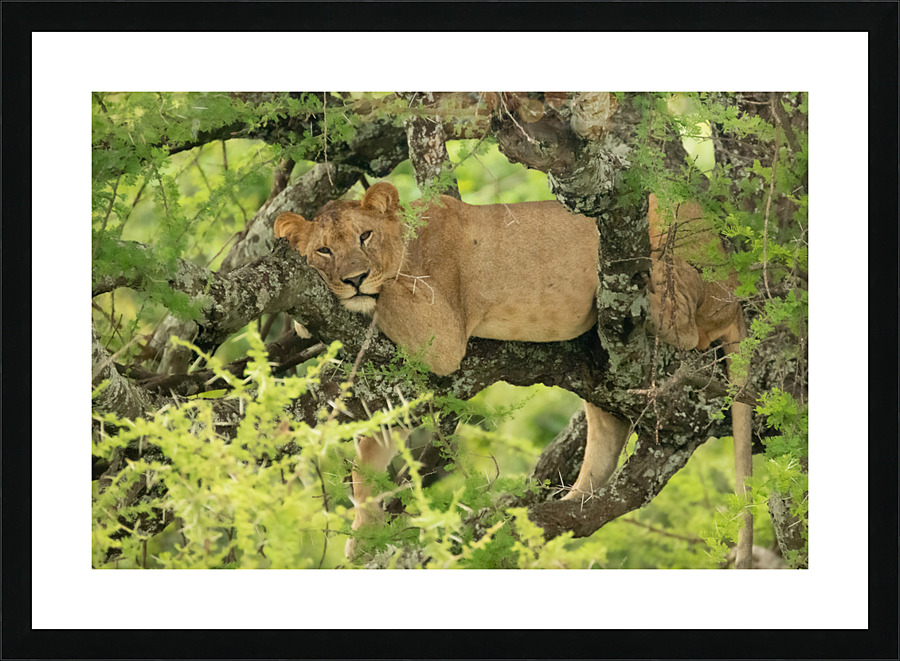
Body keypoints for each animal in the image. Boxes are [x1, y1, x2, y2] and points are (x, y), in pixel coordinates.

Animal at [275, 182, 752, 567]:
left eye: (365, 236)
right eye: (324, 250)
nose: (353, 278)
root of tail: (733, 271)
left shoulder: (442, 335)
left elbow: (385, 292)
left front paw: (337, 302)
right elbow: (367, 461)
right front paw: (364, 536)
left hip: (674, 253)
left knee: (695, 327)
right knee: (607, 430)